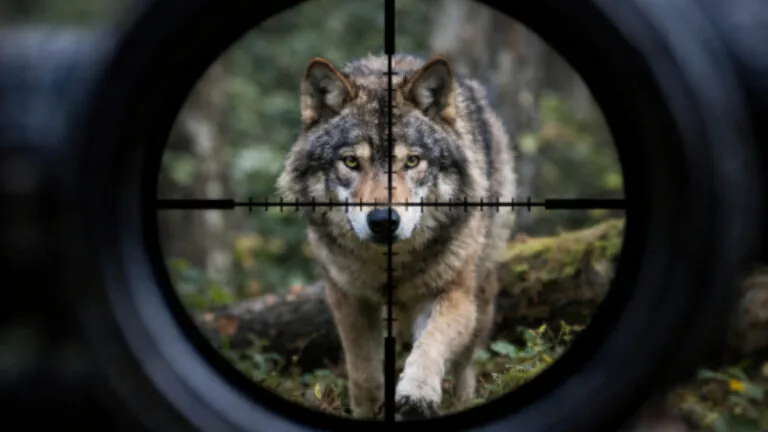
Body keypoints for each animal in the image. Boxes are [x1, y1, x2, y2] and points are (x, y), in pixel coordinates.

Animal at [276, 53, 516, 419]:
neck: (390, 265)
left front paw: (417, 395)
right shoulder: (348, 298)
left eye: (412, 161)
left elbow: (430, 345)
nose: (382, 220)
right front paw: (369, 409)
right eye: (351, 162)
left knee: (465, 363)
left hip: (481, 295)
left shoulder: (454, 295)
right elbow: (363, 371)